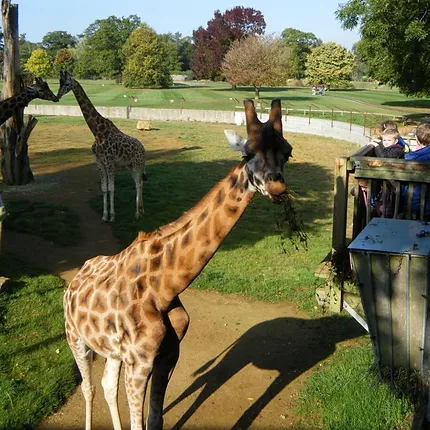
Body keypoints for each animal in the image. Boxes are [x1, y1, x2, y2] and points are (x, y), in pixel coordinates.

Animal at [56, 70, 146, 222]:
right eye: (59, 82)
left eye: (67, 83)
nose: (57, 96)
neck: (98, 133)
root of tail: (144, 149)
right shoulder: (99, 162)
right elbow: (104, 189)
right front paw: (104, 215)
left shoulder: (109, 162)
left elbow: (111, 188)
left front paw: (112, 216)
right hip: (130, 166)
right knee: (138, 183)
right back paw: (141, 210)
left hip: (137, 165)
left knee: (139, 184)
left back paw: (138, 213)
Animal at [63, 99, 292, 428]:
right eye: (248, 153)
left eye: (288, 152)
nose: (276, 188)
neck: (165, 288)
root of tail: (75, 279)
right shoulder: (140, 361)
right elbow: (138, 422)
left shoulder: (168, 355)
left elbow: (155, 420)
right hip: (75, 337)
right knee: (88, 387)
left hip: (112, 350)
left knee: (106, 385)